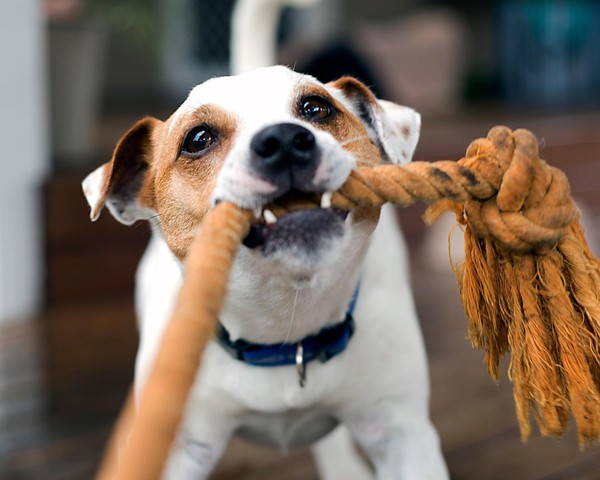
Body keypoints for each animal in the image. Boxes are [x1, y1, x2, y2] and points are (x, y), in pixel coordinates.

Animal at [84, 64, 450, 480]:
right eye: (198, 138)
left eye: (316, 107)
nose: (284, 140)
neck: (285, 329)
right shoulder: (177, 450)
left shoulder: (403, 436)